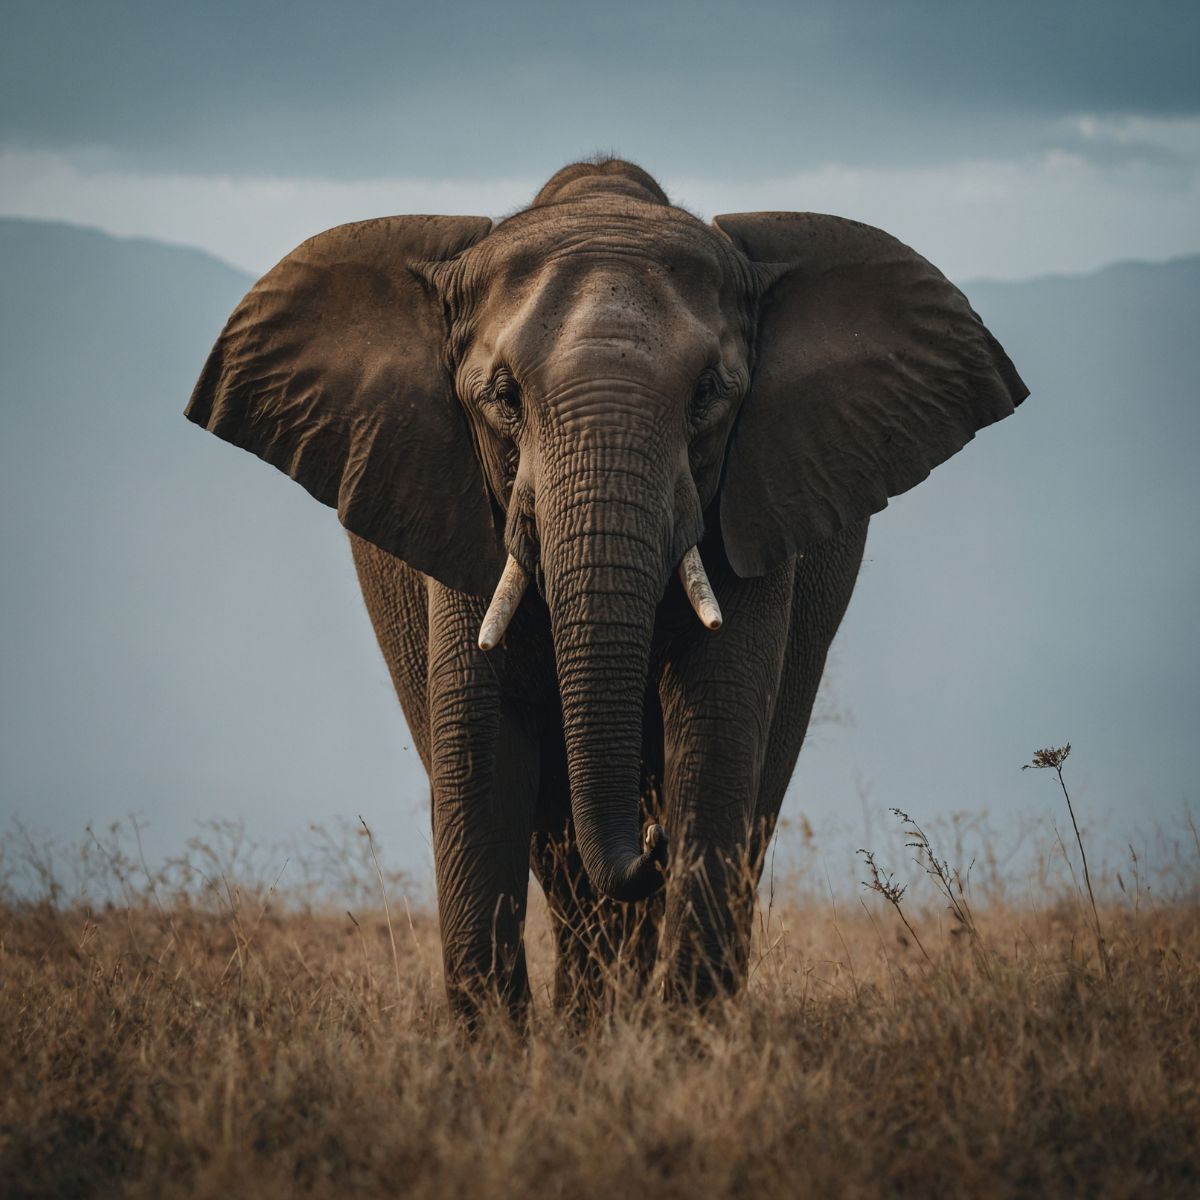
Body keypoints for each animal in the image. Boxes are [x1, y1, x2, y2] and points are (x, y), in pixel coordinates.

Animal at [182, 157, 1027, 1022]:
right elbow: (481, 743)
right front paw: (504, 1046)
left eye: (709, 393)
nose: (651, 840)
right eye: (503, 397)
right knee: (559, 849)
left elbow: (717, 728)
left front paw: (687, 1037)